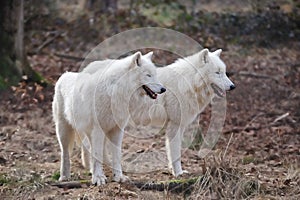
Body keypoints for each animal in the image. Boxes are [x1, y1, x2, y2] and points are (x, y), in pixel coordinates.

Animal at [53, 50, 166, 185]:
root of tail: (64, 75)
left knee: (89, 148)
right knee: (65, 152)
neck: (116, 91)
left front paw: (118, 176)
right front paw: (98, 178)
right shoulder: (97, 130)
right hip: (64, 130)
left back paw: (91, 169)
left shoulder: (117, 130)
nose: (163, 89)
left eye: (155, 75)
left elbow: (116, 155)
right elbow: (97, 155)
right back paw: (64, 176)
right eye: (148, 75)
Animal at [83, 49, 236, 177]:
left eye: (224, 72)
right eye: (217, 72)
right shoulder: (175, 125)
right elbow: (175, 152)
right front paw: (178, 173)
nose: (233, 86)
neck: (188, 82)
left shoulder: (178, 126)